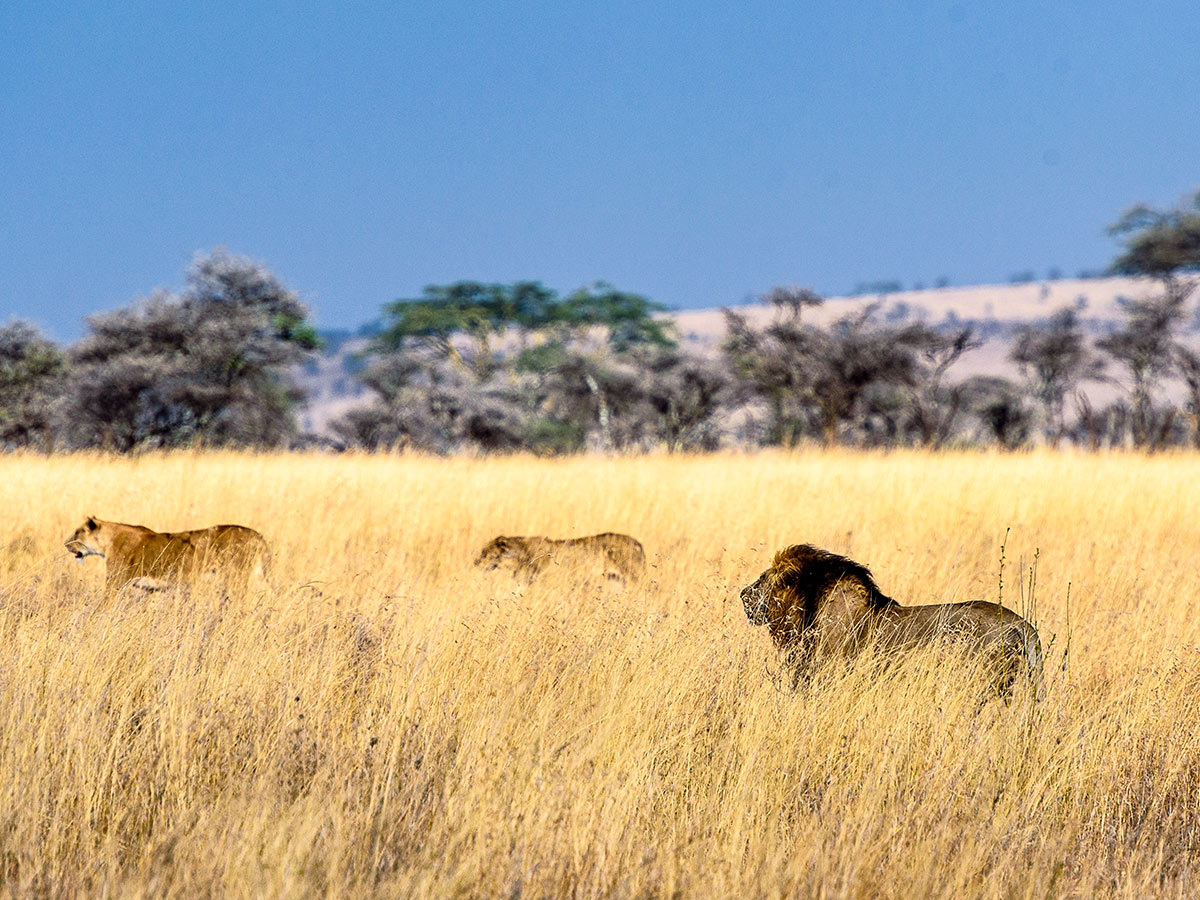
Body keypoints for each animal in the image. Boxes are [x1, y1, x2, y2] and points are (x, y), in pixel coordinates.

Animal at [67, 513, 272, 600]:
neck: (107, 542)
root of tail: (259, 536)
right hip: (257, 577)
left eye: (77, 532)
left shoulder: (116, 583)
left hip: (236, 579)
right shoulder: (150, 589)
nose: (66, 544)